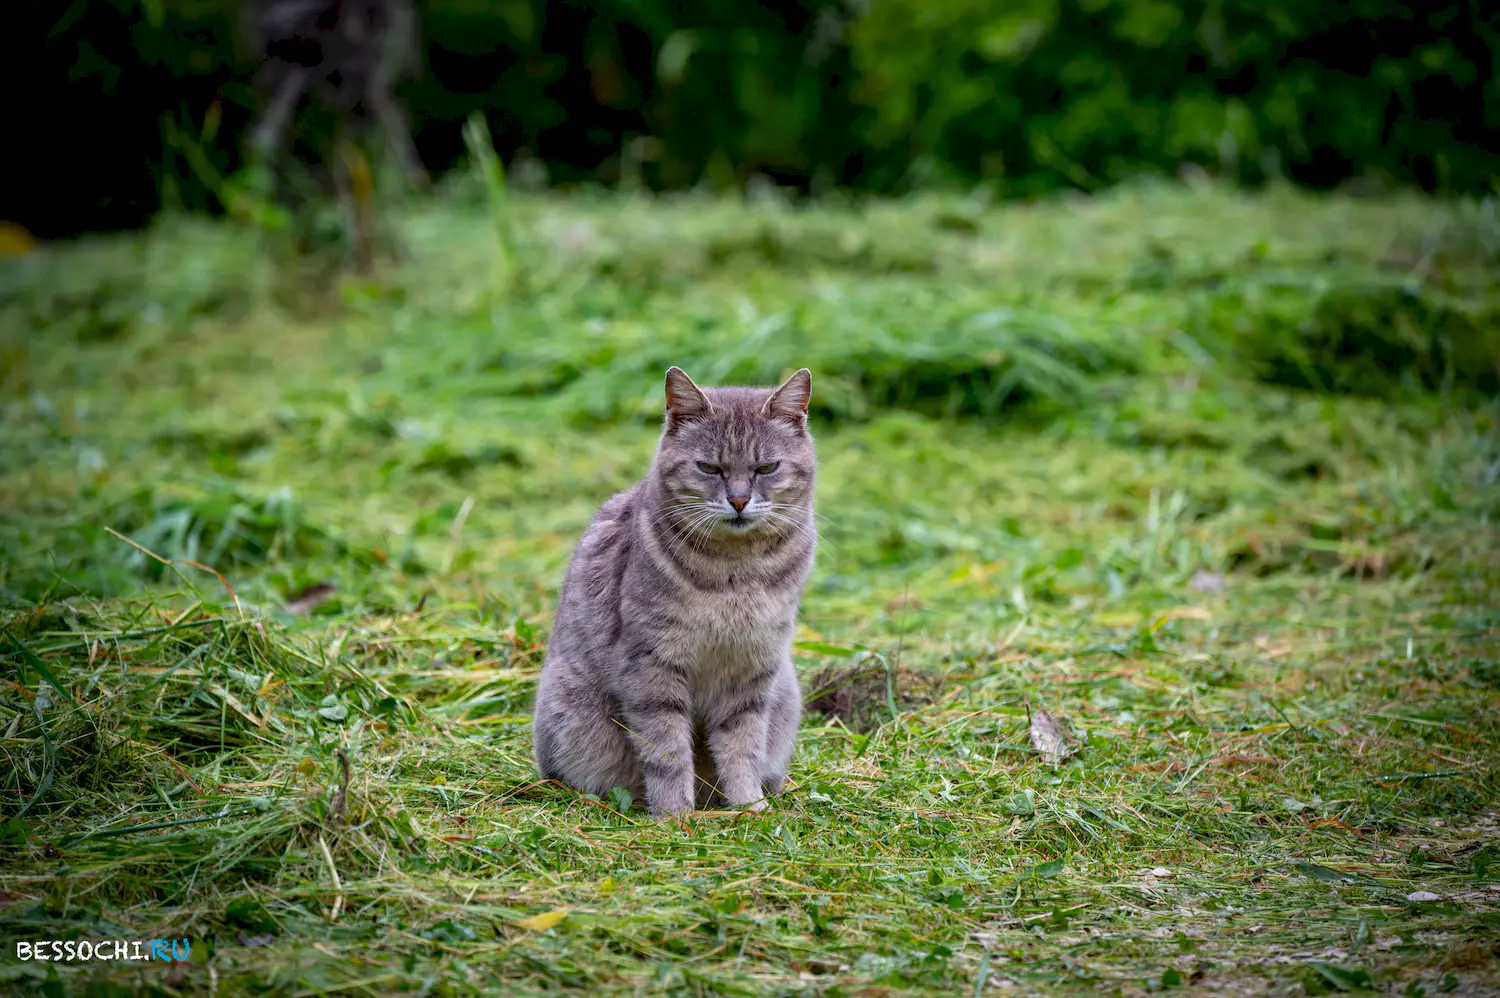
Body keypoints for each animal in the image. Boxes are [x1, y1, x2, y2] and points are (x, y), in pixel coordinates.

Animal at [531, 361, 816, 816]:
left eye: (766, 468)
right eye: (709, 468)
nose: (739, 501)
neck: (736, 571)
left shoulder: (752, 669)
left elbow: (742, 747)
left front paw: (748, 807)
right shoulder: (653, 667)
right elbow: (667, 752)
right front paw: (675, 816)